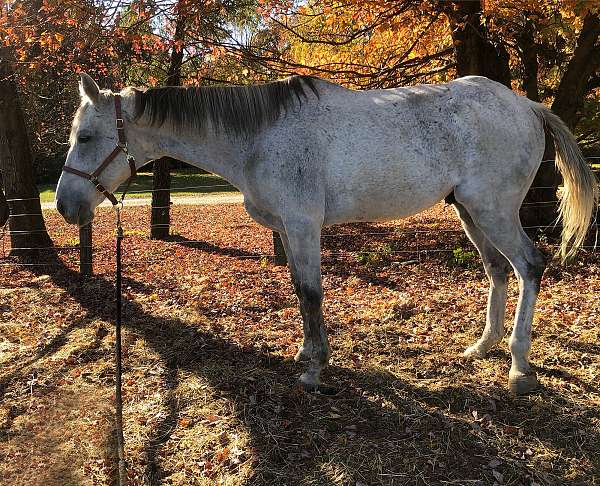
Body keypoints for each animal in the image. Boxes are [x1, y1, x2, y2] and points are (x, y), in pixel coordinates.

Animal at [55, 73, 596, 394]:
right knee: (498, 270)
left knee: (529, 266)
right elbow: (300, 292)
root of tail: (527, 105)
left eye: (86, 137)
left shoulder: (302, 225)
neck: (259, 137)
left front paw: (314, 369)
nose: (64, 205)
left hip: (494, 209)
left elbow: (312, 293)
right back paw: (482, 347)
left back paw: (519, 365)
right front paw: (307, 352)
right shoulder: (290, 231)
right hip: (469, 211)